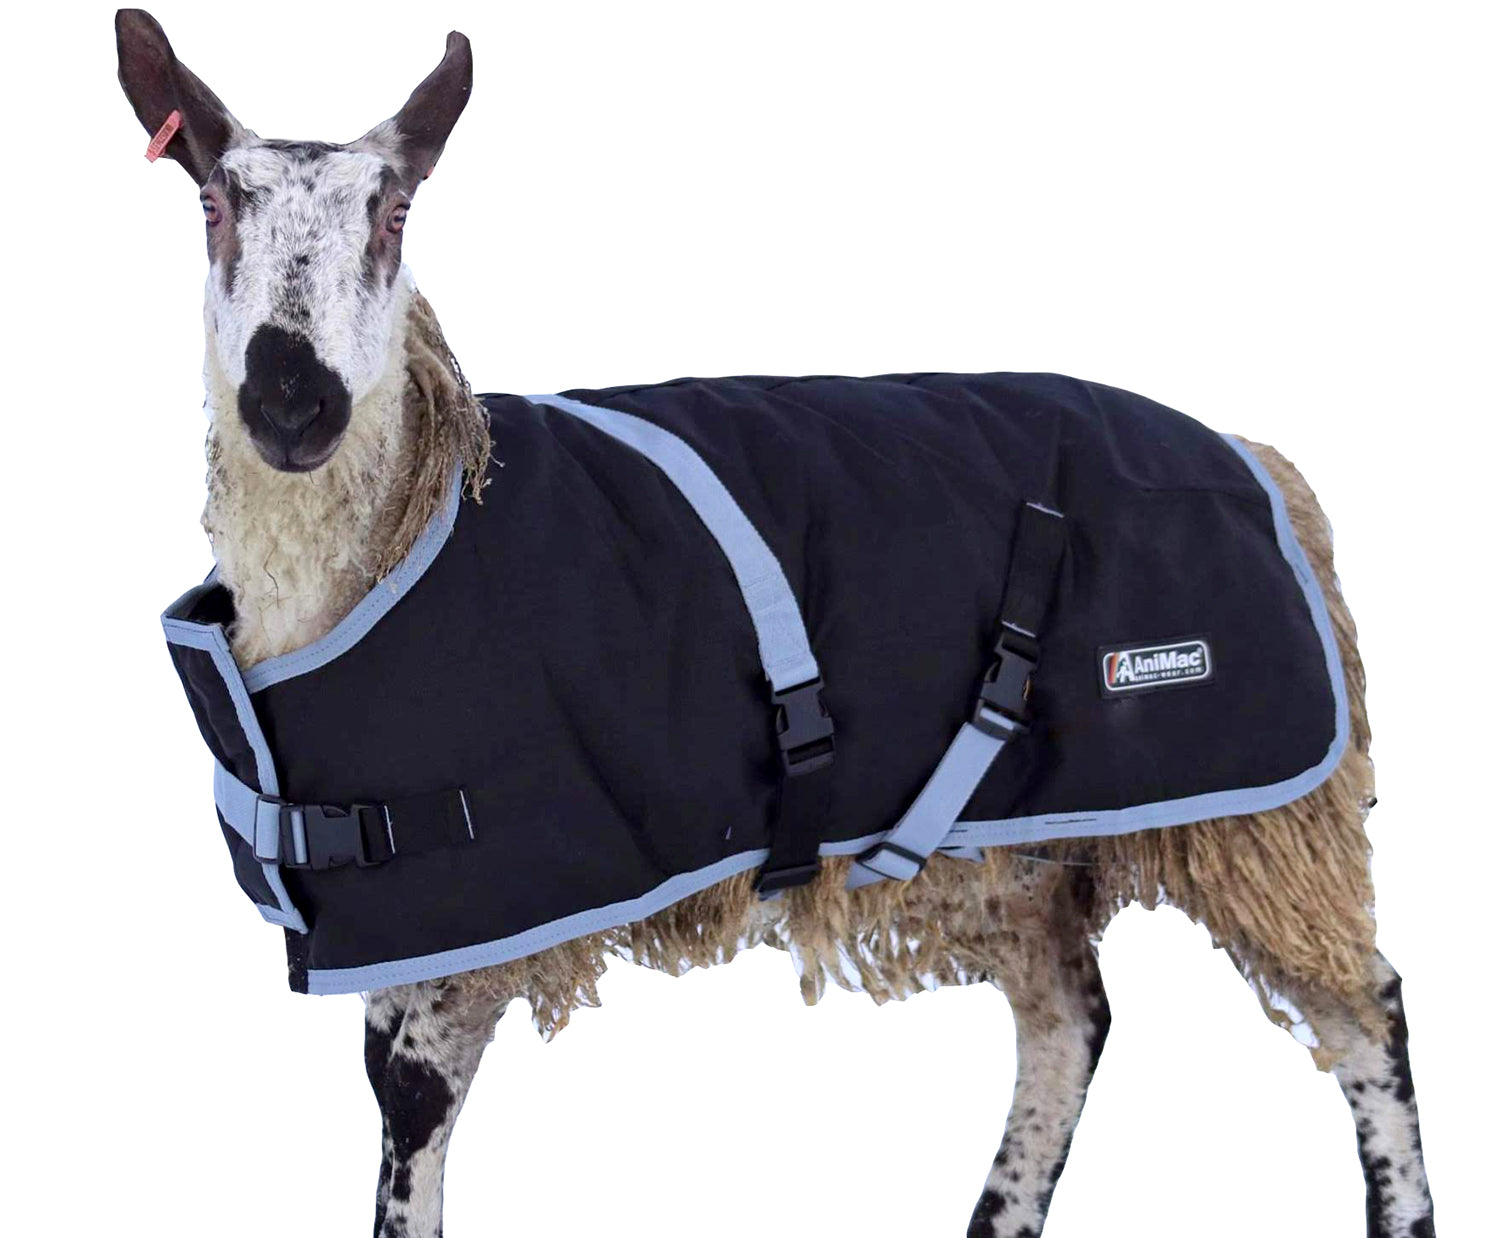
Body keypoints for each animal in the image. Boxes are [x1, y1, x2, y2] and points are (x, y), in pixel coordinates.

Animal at [116, 10, 1436, 1237]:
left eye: (391, 214)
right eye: (215, 208)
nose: (293, 400)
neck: (410, 527)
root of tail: (1261, 464)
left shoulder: (481, 912)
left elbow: (411, 1121)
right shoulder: (405, 926)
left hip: (1274, 819)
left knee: (1366, 1008)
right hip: (1015, 846)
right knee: (1071, 1017)